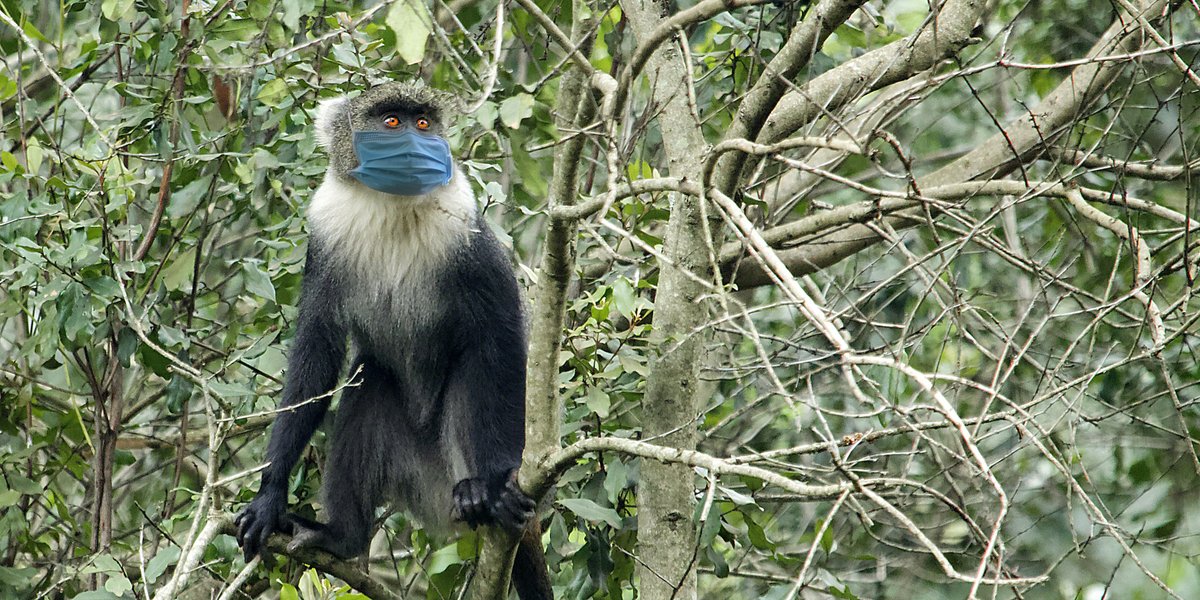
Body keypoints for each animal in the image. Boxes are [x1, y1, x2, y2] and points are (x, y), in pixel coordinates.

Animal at [234, 81, 553, 600]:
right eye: (390, 121)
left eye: (423, 122)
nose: (417, 144)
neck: (392, 208)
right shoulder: (325, 237)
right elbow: (316, 353)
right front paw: (269, 497)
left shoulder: (468, 235)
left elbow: (501, 335)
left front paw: (501, 479)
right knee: (370, 379)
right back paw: (340, 536)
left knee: (477, 372)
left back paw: (482, 493)